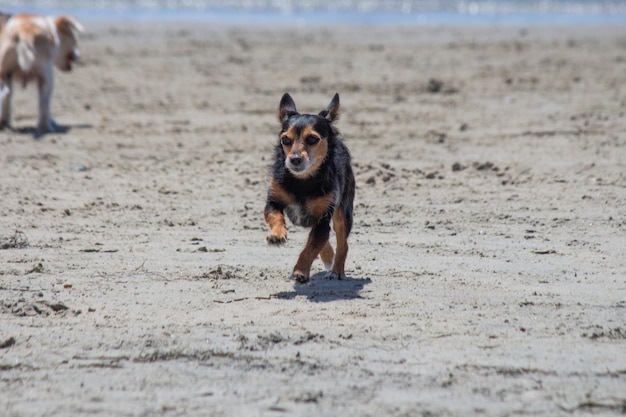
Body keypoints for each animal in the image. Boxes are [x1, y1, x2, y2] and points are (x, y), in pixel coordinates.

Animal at [262, 93, 354, 282]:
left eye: (312, 139)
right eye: (285, 140)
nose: (295, 159)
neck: (302, 181)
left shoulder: (323, 218)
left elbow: (311, 248)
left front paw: (300, 271)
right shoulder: (273, 202)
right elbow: (276, 218)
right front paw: (276, 235)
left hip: (343, 214)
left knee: (342, 243)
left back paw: (337, 270)